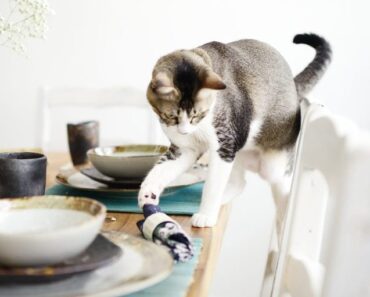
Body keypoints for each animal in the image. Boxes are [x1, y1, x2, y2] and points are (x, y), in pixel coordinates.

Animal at [137, 33, 330, 227]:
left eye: (196, 115)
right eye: (172, 117)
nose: (184, 132)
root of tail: (293, 86)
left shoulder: (224, 145)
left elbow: (212, 186)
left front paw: (206, 215)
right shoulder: (185, 149)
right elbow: (159, 172)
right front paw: (147, 194)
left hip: (271, 166)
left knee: (281, 187)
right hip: (238, 153)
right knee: (240, 183)